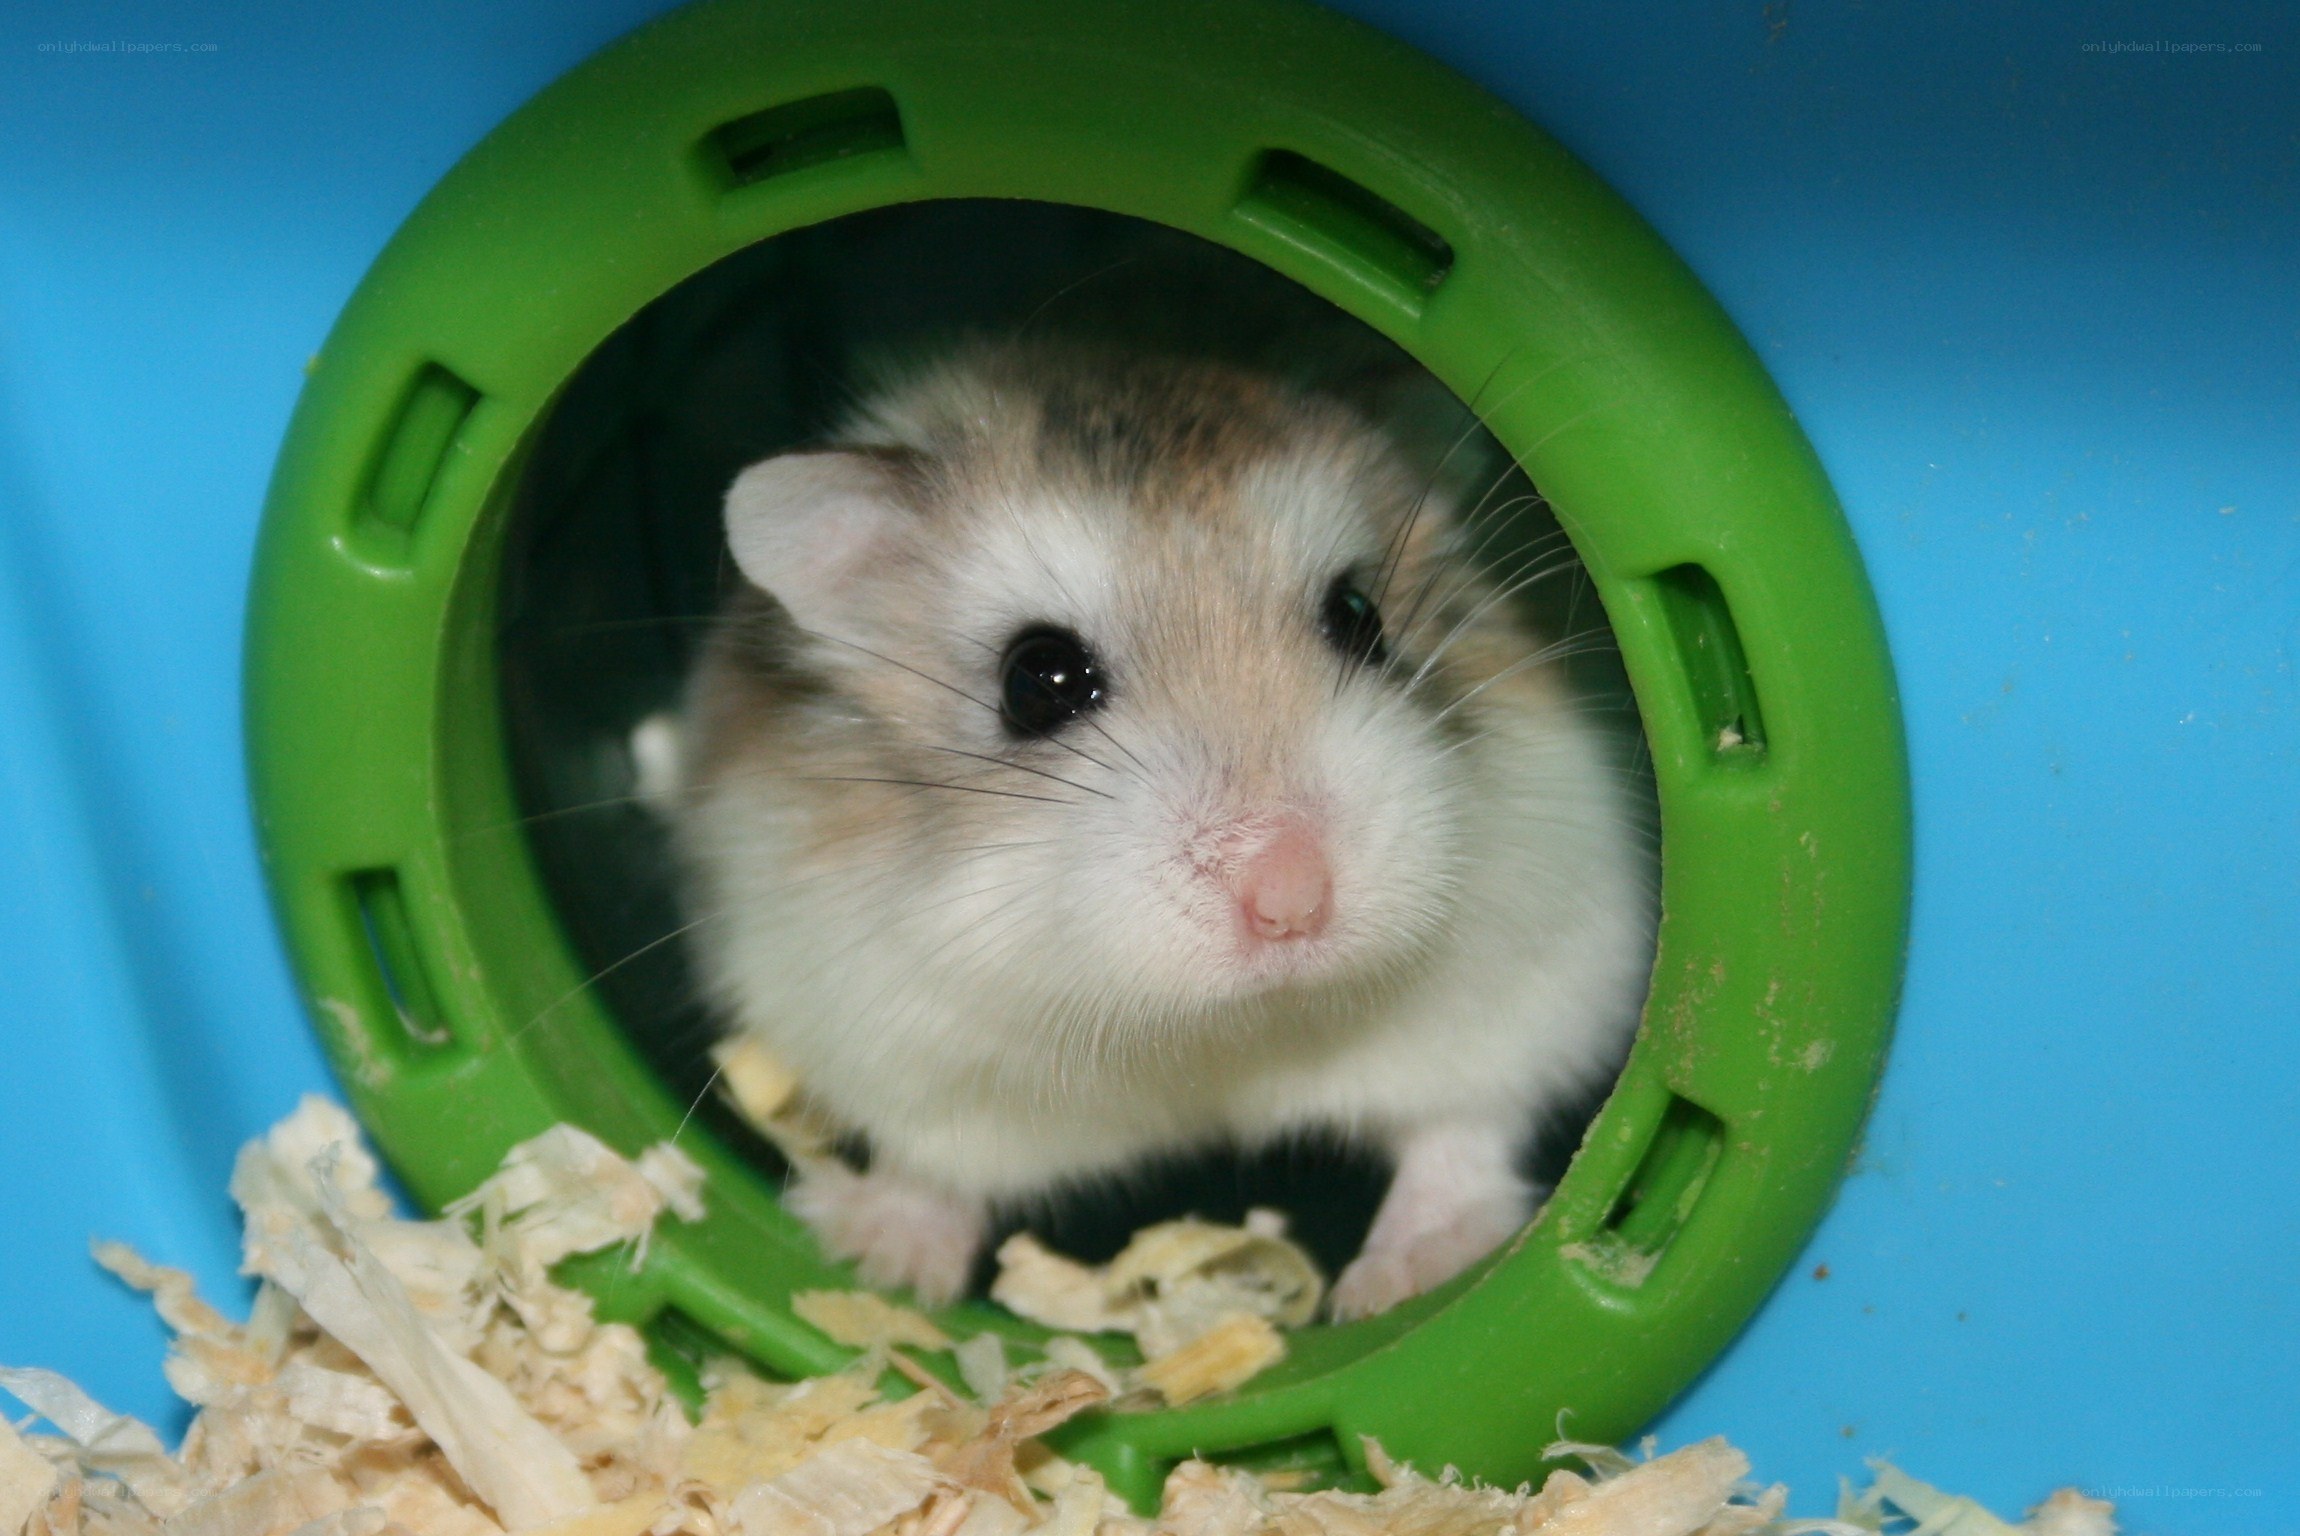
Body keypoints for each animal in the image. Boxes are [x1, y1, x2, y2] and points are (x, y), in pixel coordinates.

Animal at [652, 339, 1654, 1318]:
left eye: (1361, 618)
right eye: (1037, 680)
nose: (1291, 902)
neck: (1223, 1029)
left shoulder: (1530, 979)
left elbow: (1462, 1128)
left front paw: (1404, 1279)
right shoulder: (882, 1036)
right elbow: (931, 1164)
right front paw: (882, 1262)